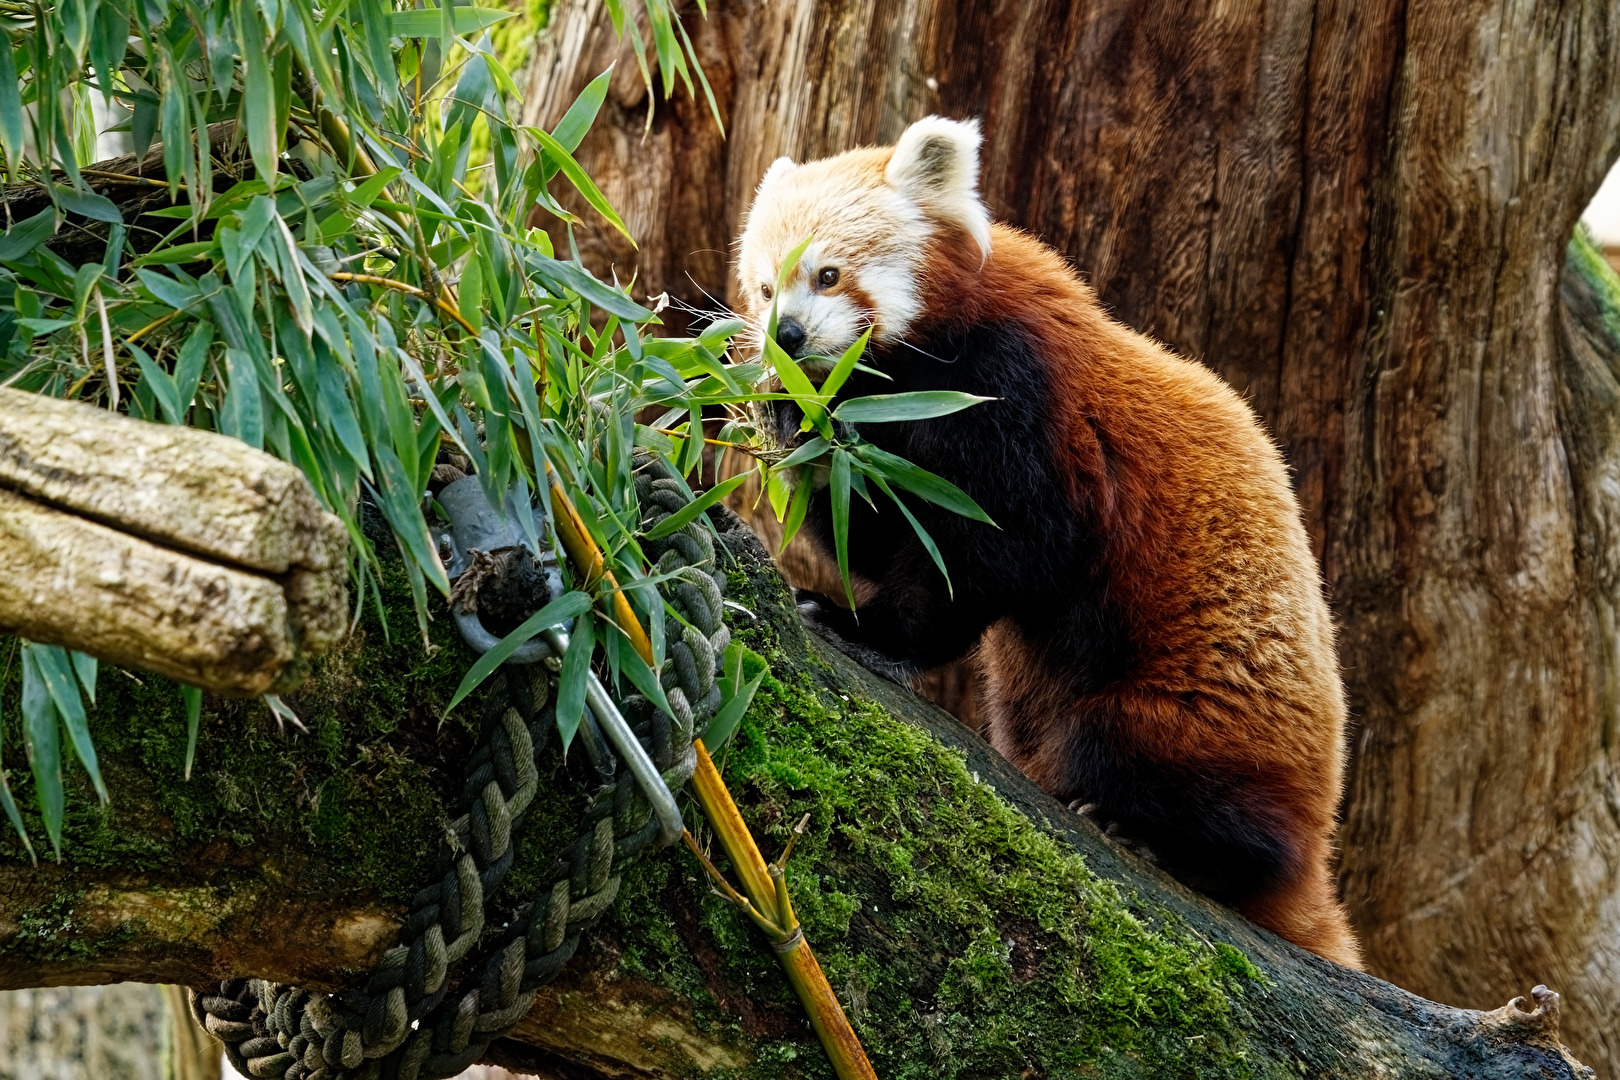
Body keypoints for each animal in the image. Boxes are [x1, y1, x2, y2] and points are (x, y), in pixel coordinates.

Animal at [741, 116, 1360, 965]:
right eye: (766, 289)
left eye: (828, 275)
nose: (789, 338)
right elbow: (873, 521)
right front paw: (790, 420)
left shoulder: (1022, 401)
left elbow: (997, 555)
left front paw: (868, 631)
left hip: (1191, 714)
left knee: (1146, 764)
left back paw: (1163, 840)